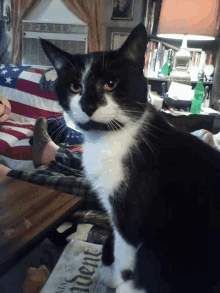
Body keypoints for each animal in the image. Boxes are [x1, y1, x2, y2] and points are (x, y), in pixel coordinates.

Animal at [41, 24, 220, 290]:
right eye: (74, 86)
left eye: (111, 84)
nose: (88, 105)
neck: (107, 140)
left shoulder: (130, 210)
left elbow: (125, 249)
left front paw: (118, 281)